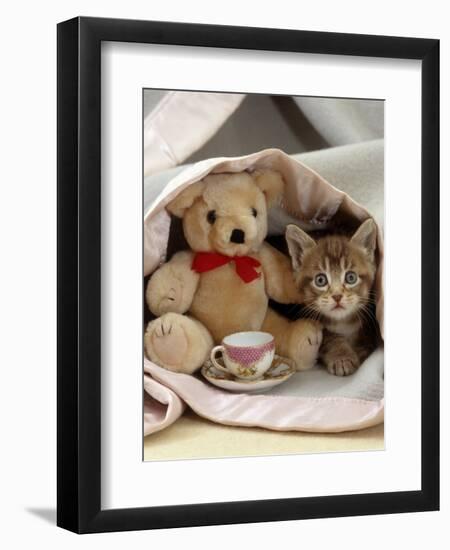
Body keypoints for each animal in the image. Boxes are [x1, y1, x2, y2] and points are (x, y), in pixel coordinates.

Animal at [286, 220, 378, 380]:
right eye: (320, 280)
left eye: (351, 277)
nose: (337, 296)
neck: (343, 322)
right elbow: (329, 337)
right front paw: (341, 357)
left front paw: (360, 350)